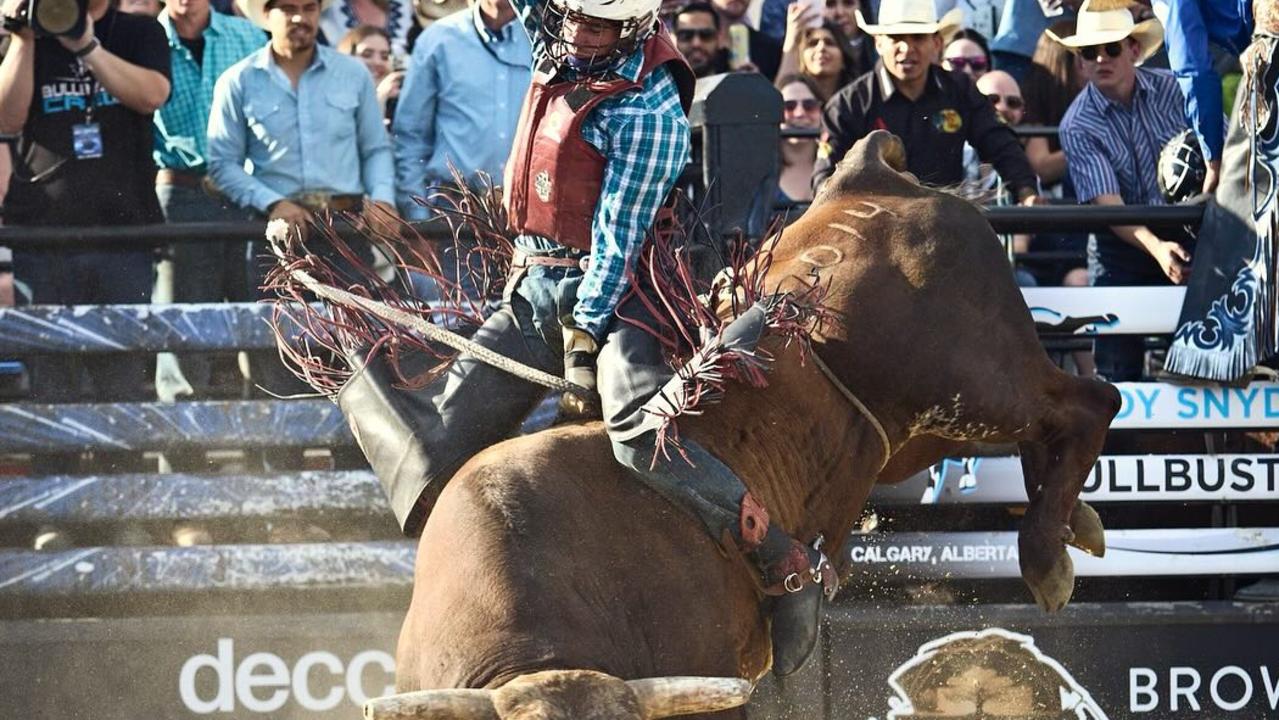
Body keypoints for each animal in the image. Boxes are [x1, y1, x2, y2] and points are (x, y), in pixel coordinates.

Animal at [274, 131, 1115, 720]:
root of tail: (871, 178)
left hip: (977, 381)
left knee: (1089, 399)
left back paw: (1046, 555)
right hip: (914, 437)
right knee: (1055, 425)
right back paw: (1075, 522)